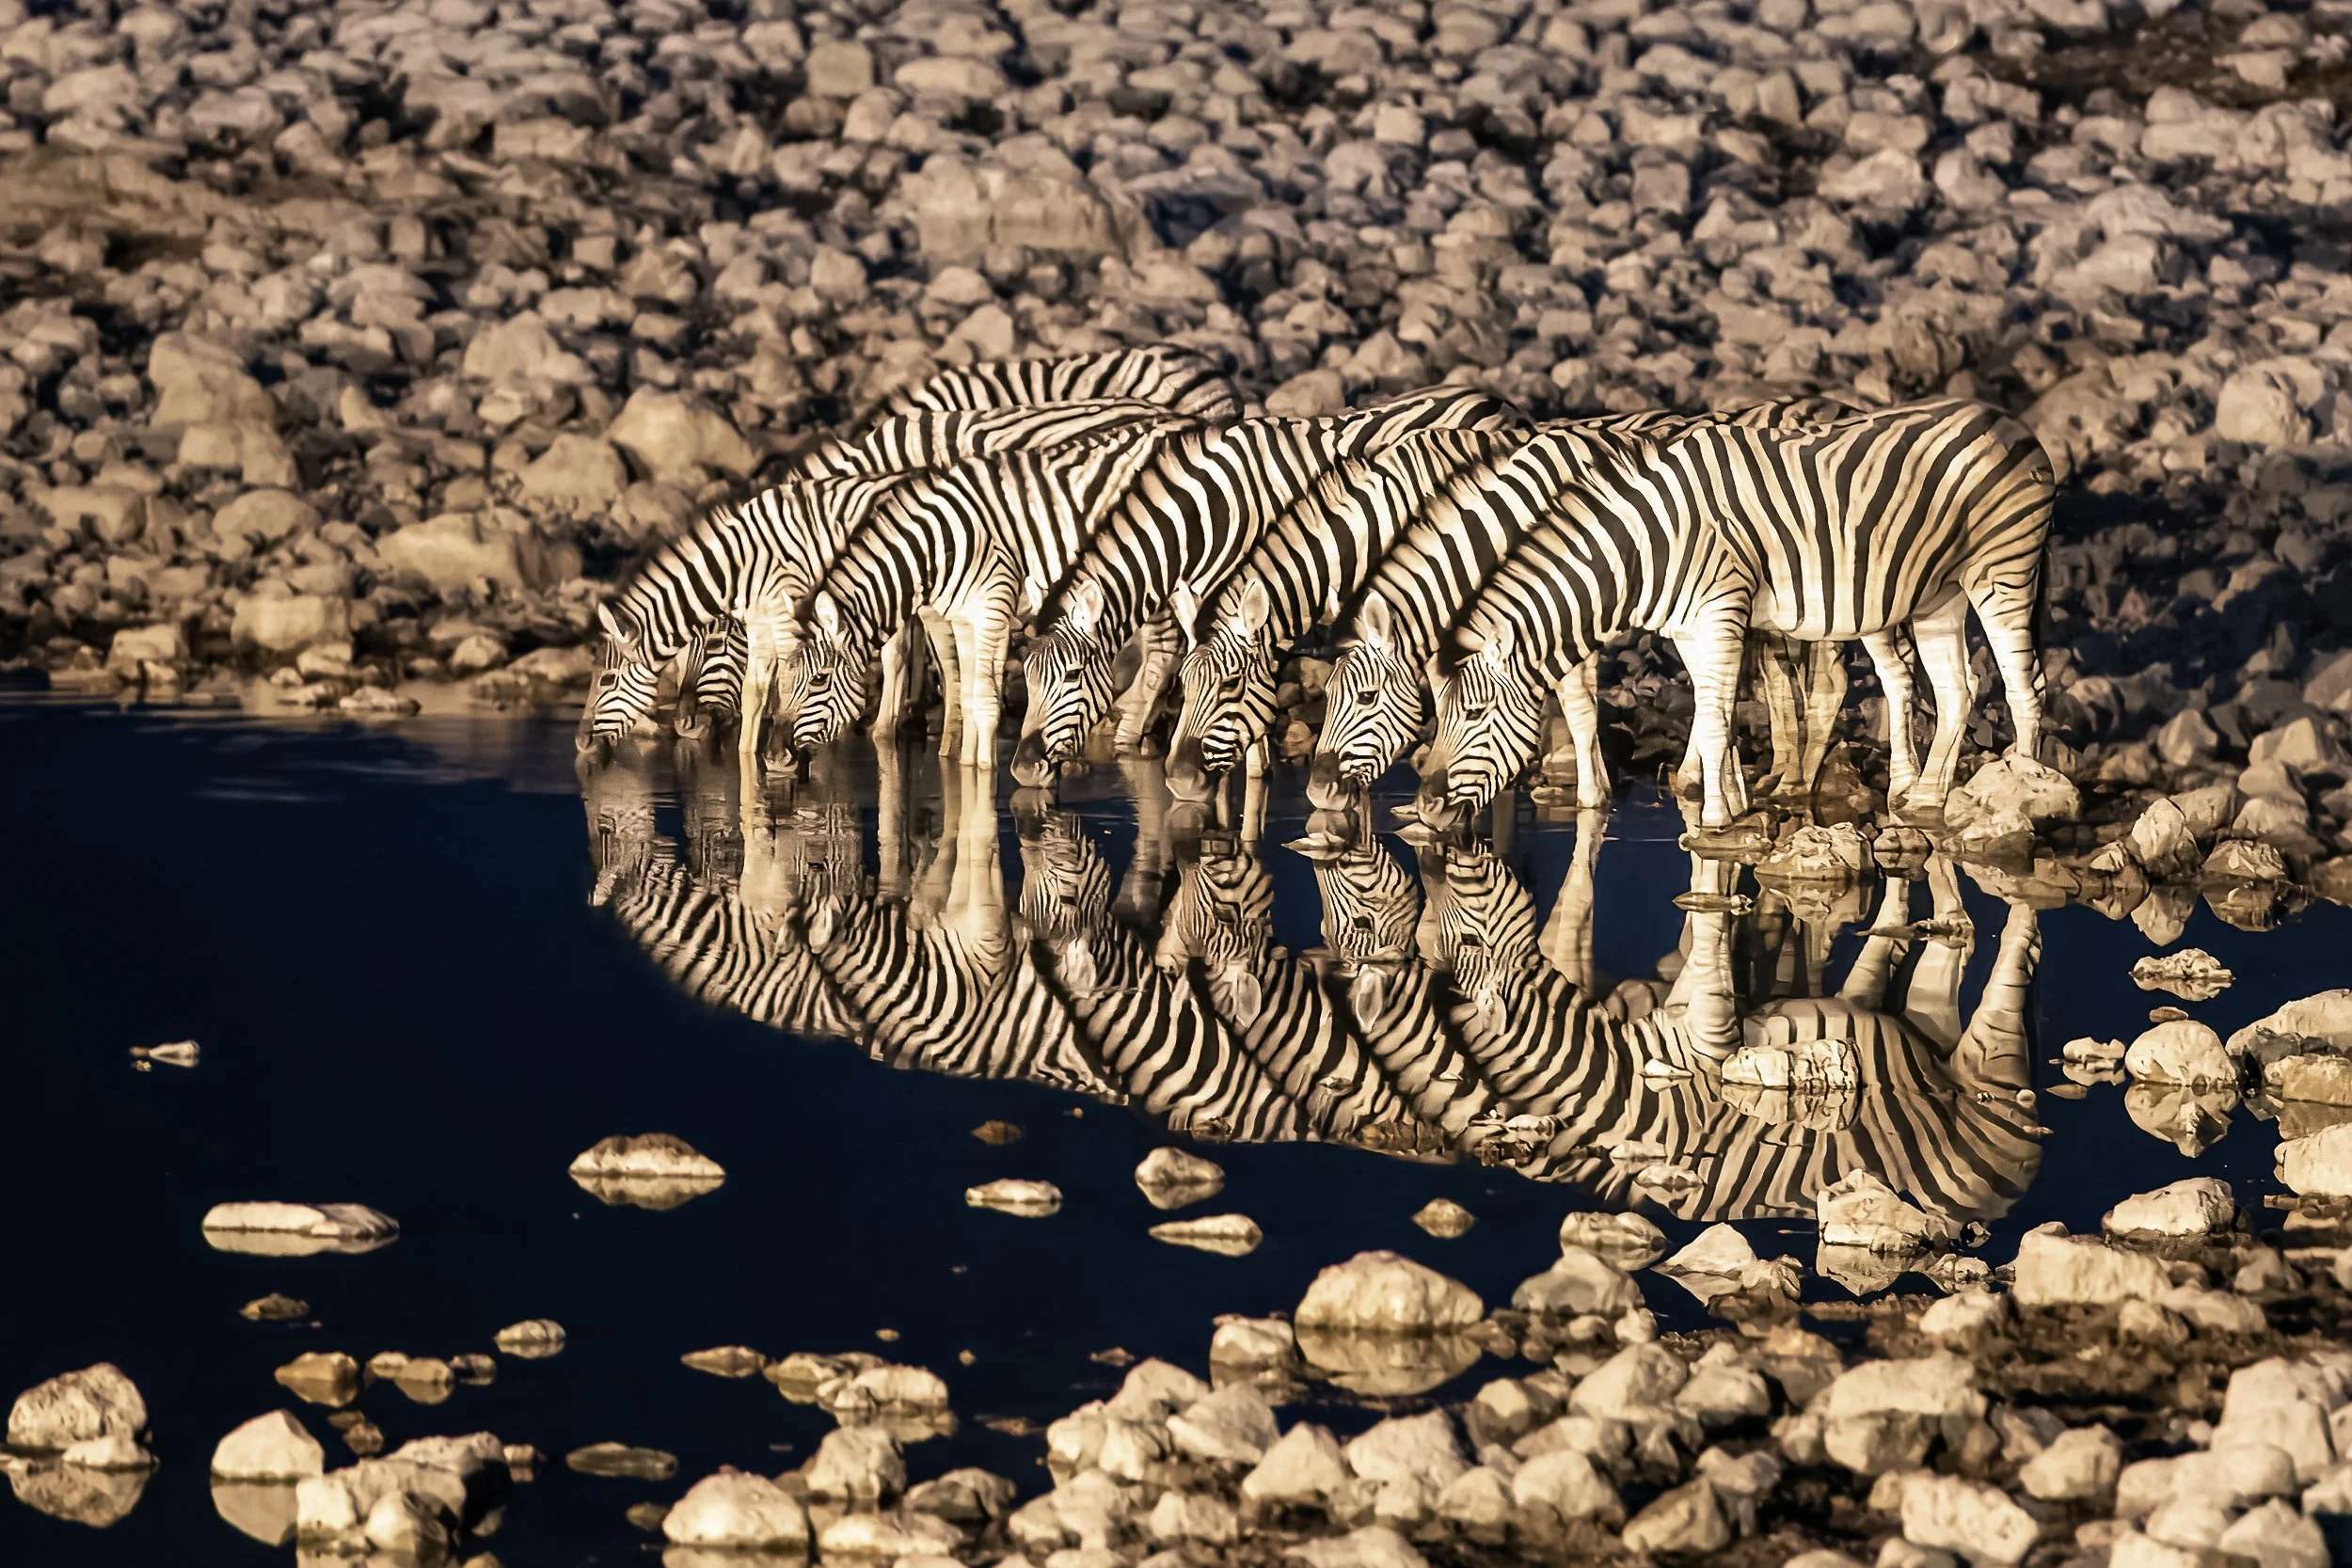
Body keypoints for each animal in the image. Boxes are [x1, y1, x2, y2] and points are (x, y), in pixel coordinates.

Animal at [785, 418, 1202, 770]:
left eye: (819, 680)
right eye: (786, 678)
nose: (780, 752)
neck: (939, 545)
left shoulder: (991, 606)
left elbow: (981, 697)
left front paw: (983, 776)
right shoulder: (961, 614)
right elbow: (967, 691)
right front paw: (964, 768)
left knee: (1165, 648)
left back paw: (1128, 739)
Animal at [1009, 386, 1530, 789]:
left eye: (1072, 676)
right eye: (1029, 678)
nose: (1024, 772)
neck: (1203, 518)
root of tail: (1499, 401)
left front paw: (1248, 771)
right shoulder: (1198, 593)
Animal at [1304, 401, 1855, 814]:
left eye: (1365, 698)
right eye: (1327, 695)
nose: (1316, 792)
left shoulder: (1566, 608)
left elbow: (1580, 706)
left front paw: (1592, 797)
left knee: (1823, 681)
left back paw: (1793, 784)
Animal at [1414, 400, 2056, 833]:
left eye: (1474, 713)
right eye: (1436, 714)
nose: (1423, 806)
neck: (1646, 548)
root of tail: (2007, 418)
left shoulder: (1723, 607)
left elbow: (1718, 715)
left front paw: (1717, 814)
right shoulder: (1686, 626)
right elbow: (1708, 711)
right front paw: (1728, 800)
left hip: (2003, 568)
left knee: (2023, 685)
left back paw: (2022, 798)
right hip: (1937, 591)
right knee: (1957, 687)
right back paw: (1924, 799)